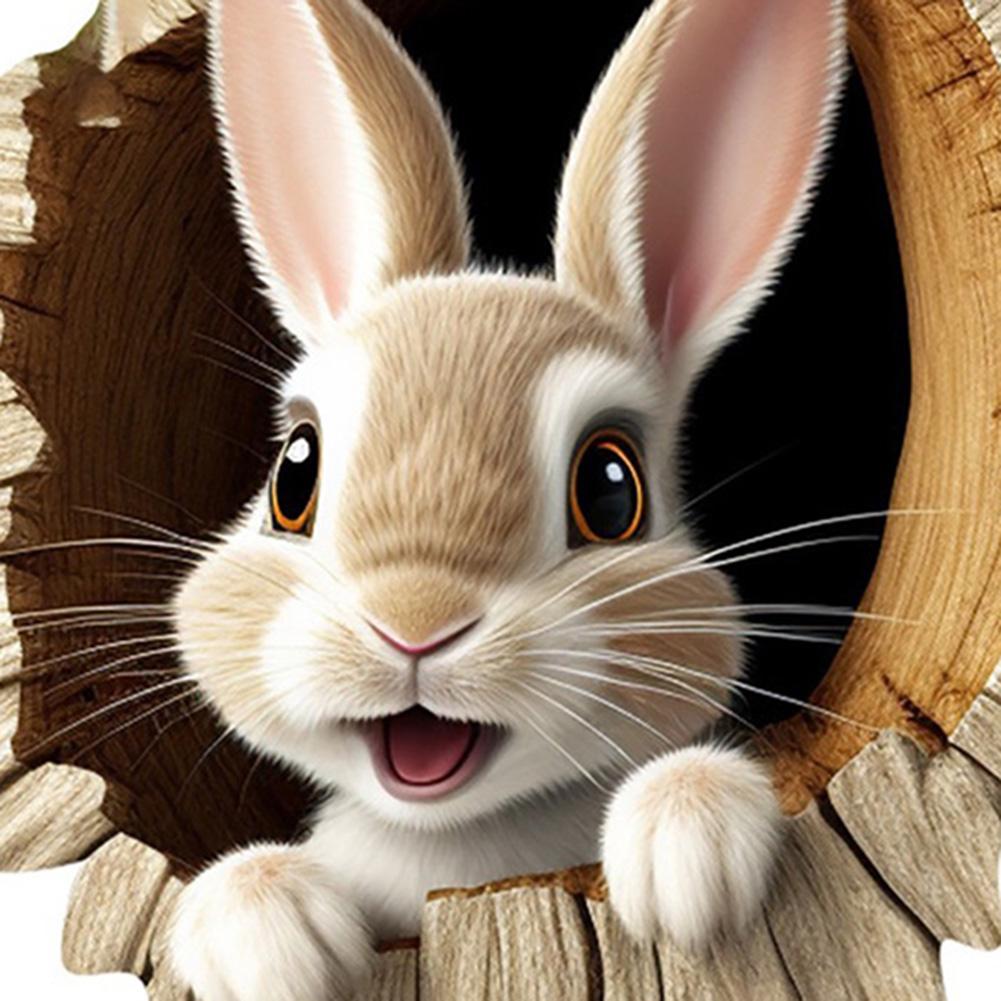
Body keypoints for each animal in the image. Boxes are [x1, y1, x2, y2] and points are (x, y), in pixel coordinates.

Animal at [168, 0, 846, 997]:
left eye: (610, 487)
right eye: (295, 473)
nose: (413, 625)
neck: (461, 838)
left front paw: (683, 859)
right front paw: (274, 938)